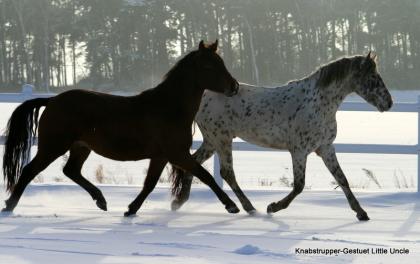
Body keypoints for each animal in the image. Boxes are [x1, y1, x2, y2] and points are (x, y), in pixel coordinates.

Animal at [2, 40, 240, 216]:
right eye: (209, 66)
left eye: (221, 62)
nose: (235, 86)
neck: (169, 107)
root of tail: (51, 101)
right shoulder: (177, 154)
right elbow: (205, 176)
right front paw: (231, 206)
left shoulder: (161, 156)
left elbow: (149, 183)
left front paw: (130, 209)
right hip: (53, 146)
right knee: (29, 170)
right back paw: (9, 205)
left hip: (80, 147)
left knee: (70, 170)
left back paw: (101, 200)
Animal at [170, 52, 390, 221]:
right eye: (373, 77)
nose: (388, 103)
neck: (318, 104)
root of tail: (203, 95)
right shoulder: (299, 151)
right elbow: (299, 186)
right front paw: (273, 207)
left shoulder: (325, 148)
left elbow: (342, 178)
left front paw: (361, 213)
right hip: (221, 139)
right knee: (227, 172)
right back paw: (247, 207)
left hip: (212, 141)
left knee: (194, 163)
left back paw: (179, 202)